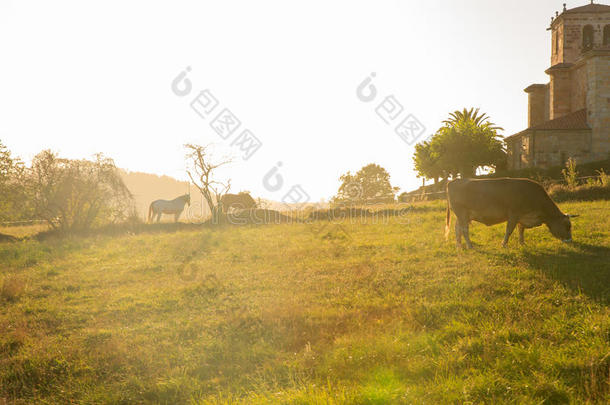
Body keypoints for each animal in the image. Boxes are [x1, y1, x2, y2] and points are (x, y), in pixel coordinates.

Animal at [442, 178, 576, 248]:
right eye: (567, 226)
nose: (570, 240)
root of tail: (454, 181)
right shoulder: (513, 215)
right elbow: (509, 230)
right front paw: (504, 244)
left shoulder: (522, 217)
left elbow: (521, 230)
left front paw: (522, 243)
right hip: (462, 213)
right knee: (464, 229)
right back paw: (469, 245)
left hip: (462, 216)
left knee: (457, 228)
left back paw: (459, 245)